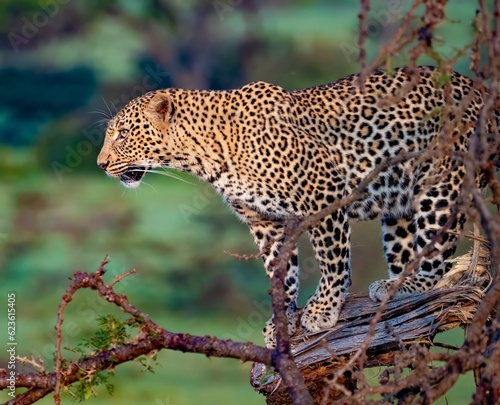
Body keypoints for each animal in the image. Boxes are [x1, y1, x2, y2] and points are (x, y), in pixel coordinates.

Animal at [97, 66, 500, 348]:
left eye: (122, 134)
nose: (101, 164)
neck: (205, 153)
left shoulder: (325, 194)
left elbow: (332, 260)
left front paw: (323, 309)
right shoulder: (264, 221)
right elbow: (280, 272)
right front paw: (283, 318)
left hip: (440, 185)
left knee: (437, 257)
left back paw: (408, 286)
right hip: (398, 204)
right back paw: (395, 288)